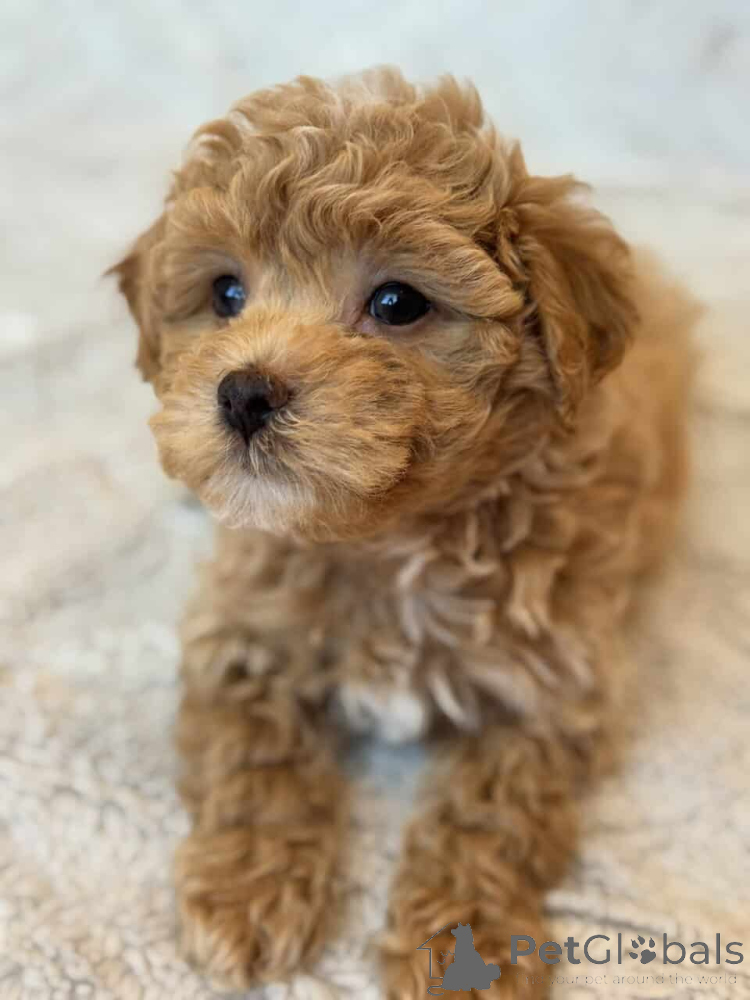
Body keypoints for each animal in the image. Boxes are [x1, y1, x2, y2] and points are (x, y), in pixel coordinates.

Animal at [112, 68, 698, 998]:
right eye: (226, 294)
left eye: (397, 302)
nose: (242, 392)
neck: (390, 543)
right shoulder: (243, 638)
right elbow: (255, 761)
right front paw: (247, 890)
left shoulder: (550, 686)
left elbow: (490, 812)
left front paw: (467, 940)